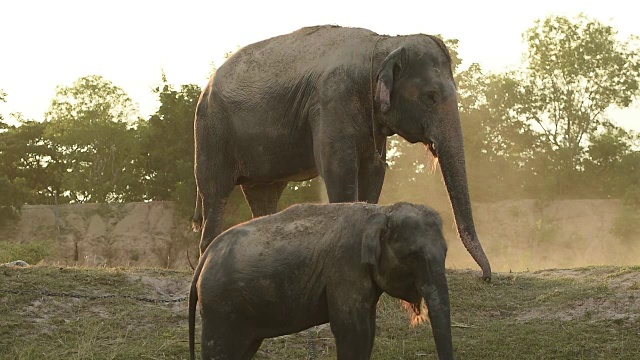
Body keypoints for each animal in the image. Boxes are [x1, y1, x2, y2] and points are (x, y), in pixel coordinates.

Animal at [188, 201, 452, 358]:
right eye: (413, 256)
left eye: (446, 252)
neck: (381, 212)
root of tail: (206, 256)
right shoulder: (345, 266)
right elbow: (352, 329)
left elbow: (368, 328)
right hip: (220, 307)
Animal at [192, 25, 492, 282]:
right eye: (430, 97)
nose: (486, 277)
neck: (383, 44)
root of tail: (207, 85)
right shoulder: (331, 102)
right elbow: (340, 169)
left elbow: (374, 172)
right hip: (211, 131)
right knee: (215, 192)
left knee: (264, 194)